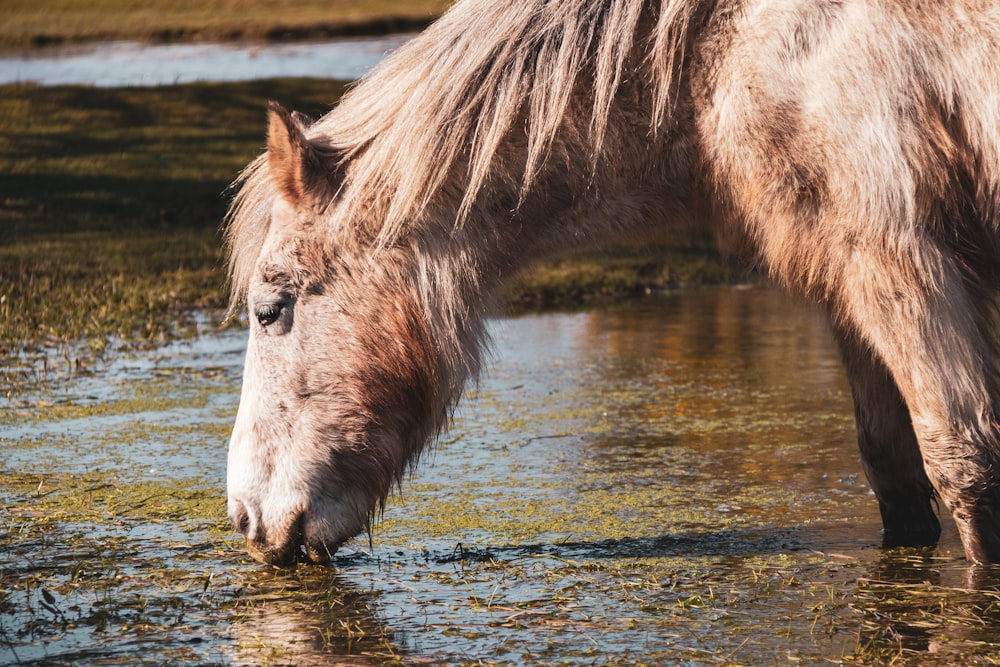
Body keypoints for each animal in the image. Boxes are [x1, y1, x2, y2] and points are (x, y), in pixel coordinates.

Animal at [225, 0, 1000, 568]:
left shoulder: (897, 257)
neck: (721, 45)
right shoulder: (843, 273)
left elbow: (965, 462)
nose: (245, 519)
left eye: (270, 309)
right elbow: (896, 476)